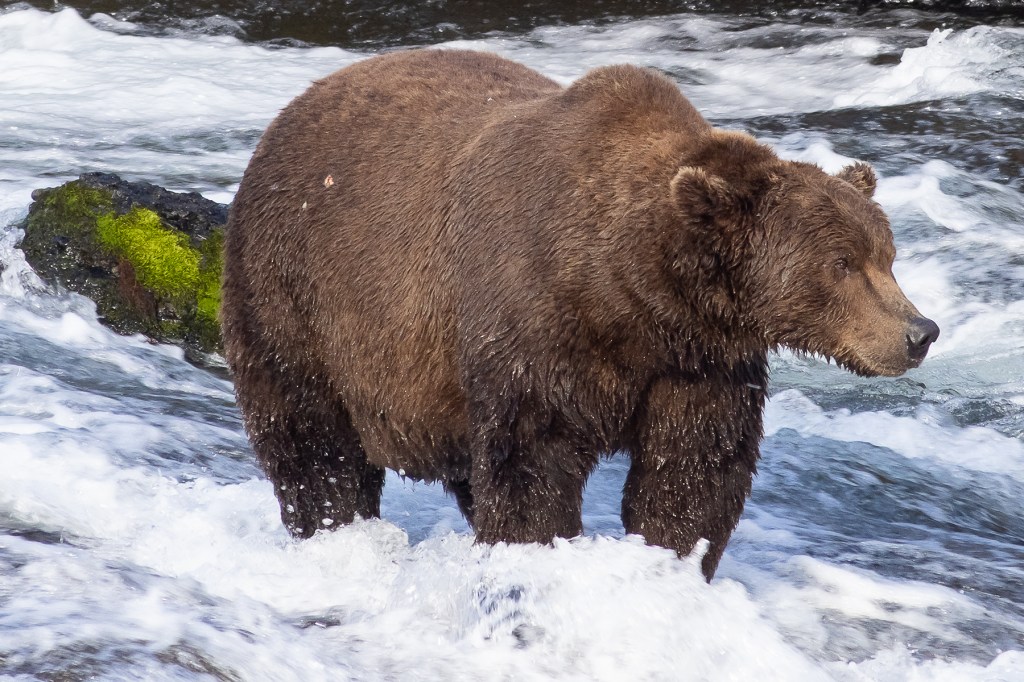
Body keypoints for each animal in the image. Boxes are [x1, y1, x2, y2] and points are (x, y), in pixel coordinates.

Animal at [222, 48, 938, 580]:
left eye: (888, 255)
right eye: (842, 263)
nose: (919, 333)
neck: (635, 292)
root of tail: (281, 120)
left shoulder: (702, 361)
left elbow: (694, 469)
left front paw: (670, 561)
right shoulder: (537, 328)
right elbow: (531, 460)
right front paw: (542, 550)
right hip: (295, 295)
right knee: (313, 443)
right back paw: (335, 530)